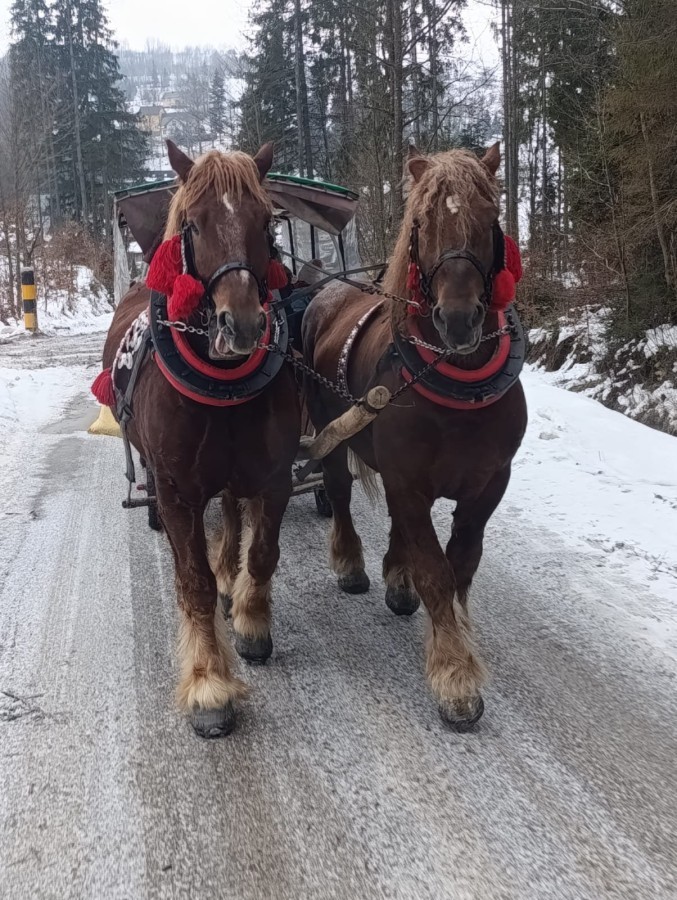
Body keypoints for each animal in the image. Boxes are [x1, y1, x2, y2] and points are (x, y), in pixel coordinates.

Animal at [100, 142, 301, 738]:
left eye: (265, 220)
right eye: (192, 223)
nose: (243, 326)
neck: (223, 384)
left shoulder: (273, 476)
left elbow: (263, 551)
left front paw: (252, 620)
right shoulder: (175, 493)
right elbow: (193, 582)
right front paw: (210, 683)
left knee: (233, 513)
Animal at [302, 144, 528, 731]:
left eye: (490, 216)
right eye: (422, 222)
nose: (458, 319)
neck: (457, 386)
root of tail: (326, 286)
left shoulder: (489, 484)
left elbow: (461, 563)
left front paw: (454, 637)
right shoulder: (408, 478)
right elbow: (435, 571)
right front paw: (454, 676)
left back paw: (395, 579)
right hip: (332, 437)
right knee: (338, 492)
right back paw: (353, 563)